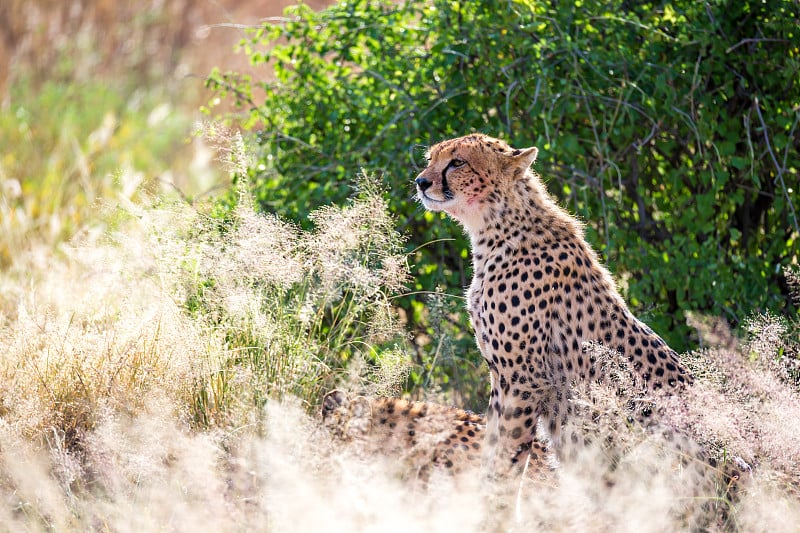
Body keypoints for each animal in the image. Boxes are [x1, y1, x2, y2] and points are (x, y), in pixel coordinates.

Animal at [412, 134, 692, 474]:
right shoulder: (500, 378)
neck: (497, 227)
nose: (421, 182)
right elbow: (491, 446)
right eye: (430, 159)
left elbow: (508, 455)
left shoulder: (524, 379)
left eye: (457, 162)